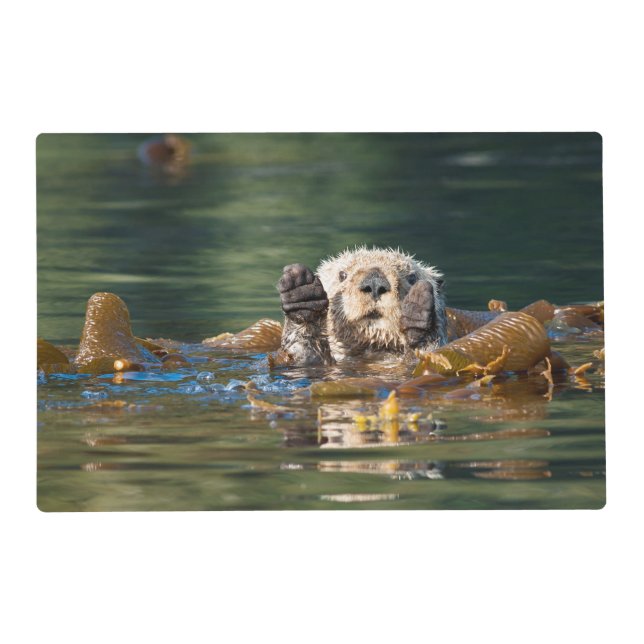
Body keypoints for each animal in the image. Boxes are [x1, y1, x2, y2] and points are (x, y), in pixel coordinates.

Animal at [277, 247, 448, 365]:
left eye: (412, 277)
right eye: (342, 275)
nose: (375, 282)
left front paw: (417, 314)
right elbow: (303, 351)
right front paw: (302, 292)